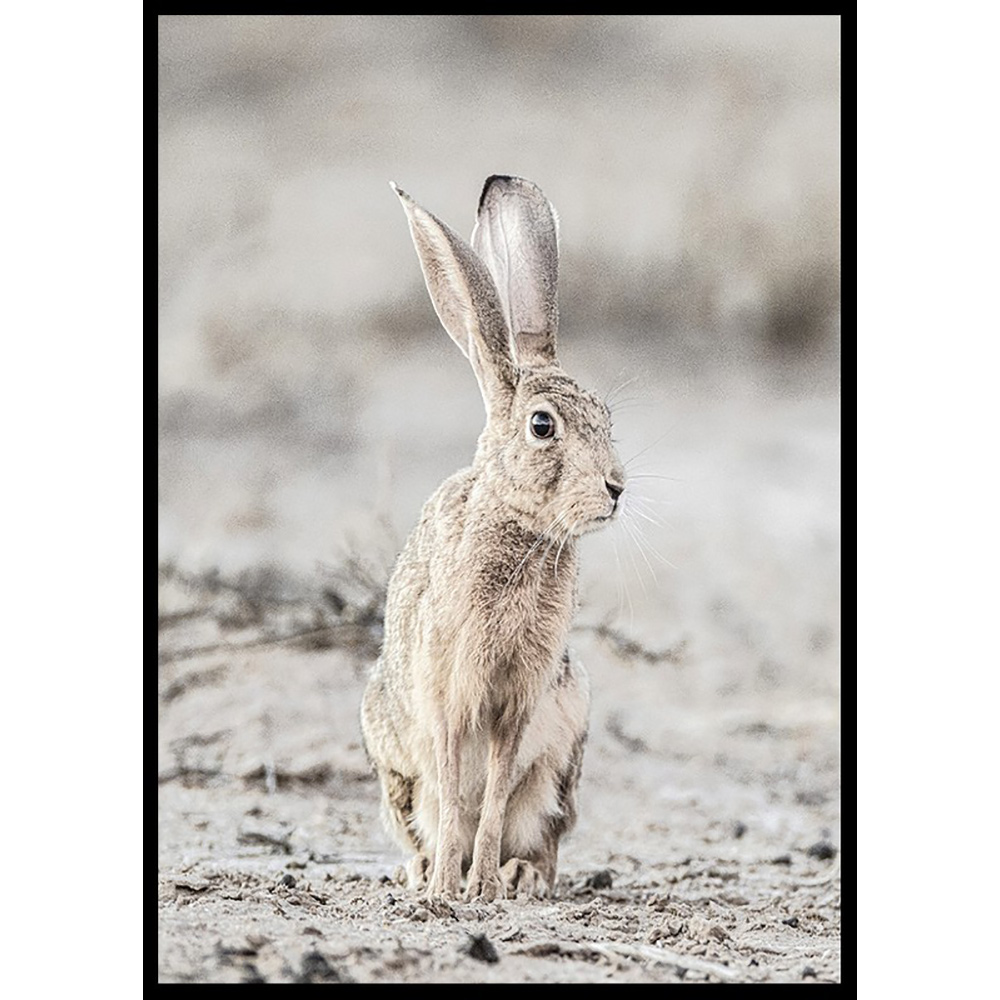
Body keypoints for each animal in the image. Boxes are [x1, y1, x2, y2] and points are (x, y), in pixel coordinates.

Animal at [360, 175, 626, 901]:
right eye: (542, 426)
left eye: (607, 418)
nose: (616, 489)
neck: (520, 530)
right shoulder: (450, 693)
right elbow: (457, 790)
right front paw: (448, 889)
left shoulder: (520, 700)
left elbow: (497, 791)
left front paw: (481, 885)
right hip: (393, 761)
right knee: (424, 813)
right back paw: (423, 871)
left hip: (565, 754)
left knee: (539, 832)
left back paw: (518, 874)